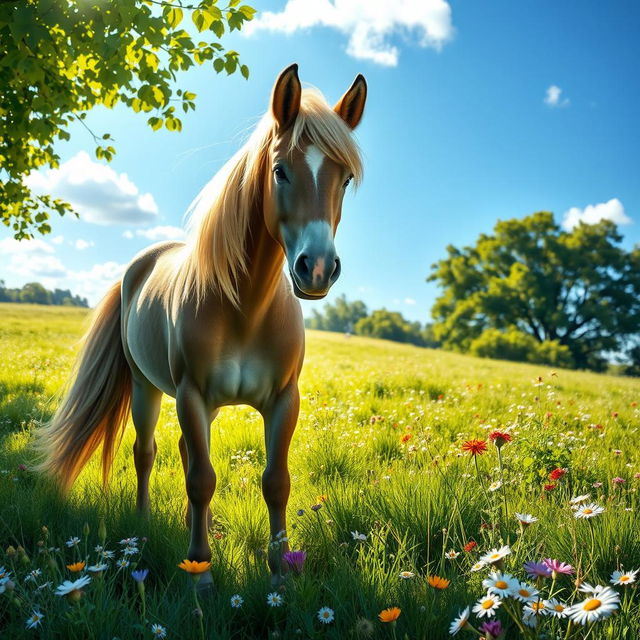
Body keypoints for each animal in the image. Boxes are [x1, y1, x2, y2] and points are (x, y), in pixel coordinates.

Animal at [36, 65, 364, 584]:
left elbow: (275, 481)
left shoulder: (283, 400)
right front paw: (201, 575)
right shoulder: (190, 394)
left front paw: (280, 573)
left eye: (346, 178)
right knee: (147, 453)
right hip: (147, 388)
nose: (316, 268)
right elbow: (200, 479)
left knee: (188, 452)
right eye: (279, 170)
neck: (246, 308)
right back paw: (145, 524)